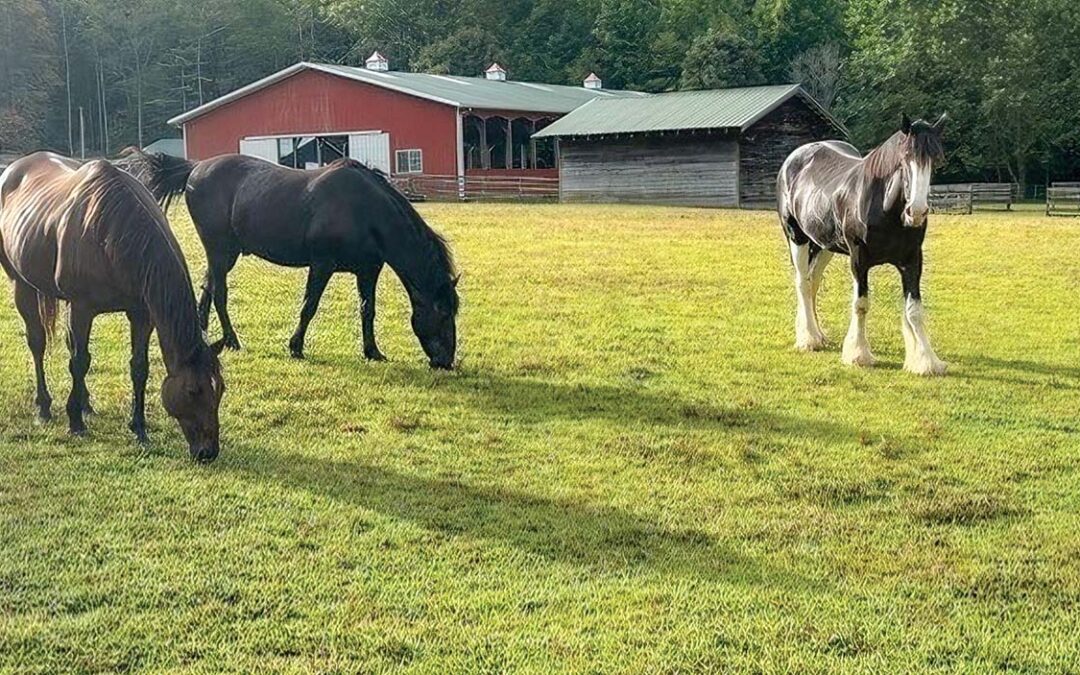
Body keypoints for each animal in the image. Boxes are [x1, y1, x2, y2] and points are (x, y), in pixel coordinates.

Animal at [0, 152, 226, 462]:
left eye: (221, 390)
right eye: (193, 391)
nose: (208, 452)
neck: (110, 232)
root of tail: (12, 169)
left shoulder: (142, 314)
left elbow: (138, 366)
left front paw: (139, 427)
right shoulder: (81, 308)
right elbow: (80, 362)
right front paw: (75, 423)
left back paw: (86, 404)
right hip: (22, 285)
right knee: (38, 343)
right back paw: (44, 407)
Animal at [125, 151, 459, 369]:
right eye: (443, 314)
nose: (446, 361)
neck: (364, 209)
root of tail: (196, 168)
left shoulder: (368, 270)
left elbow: (368, 310)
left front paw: (372, 351)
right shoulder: (322, 265)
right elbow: (309, 305)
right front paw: (295, 347)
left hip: (224, 254)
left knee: (208, 288)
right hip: (220, 251)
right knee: (219, 293)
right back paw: (232, 340)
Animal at [777, 113, 948, 376]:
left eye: (936, 160)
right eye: (905, 157)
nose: (916, 212)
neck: (884, 207)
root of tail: (793, 159)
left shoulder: (912, 260)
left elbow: (914, 310)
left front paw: (926, 361)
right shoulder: (859, 259)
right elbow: (861, 304)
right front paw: (858, 354)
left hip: (824, 245)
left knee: (813, 281)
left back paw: (818, 335)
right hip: (798, 238)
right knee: (803, 284)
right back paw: (809, 340)